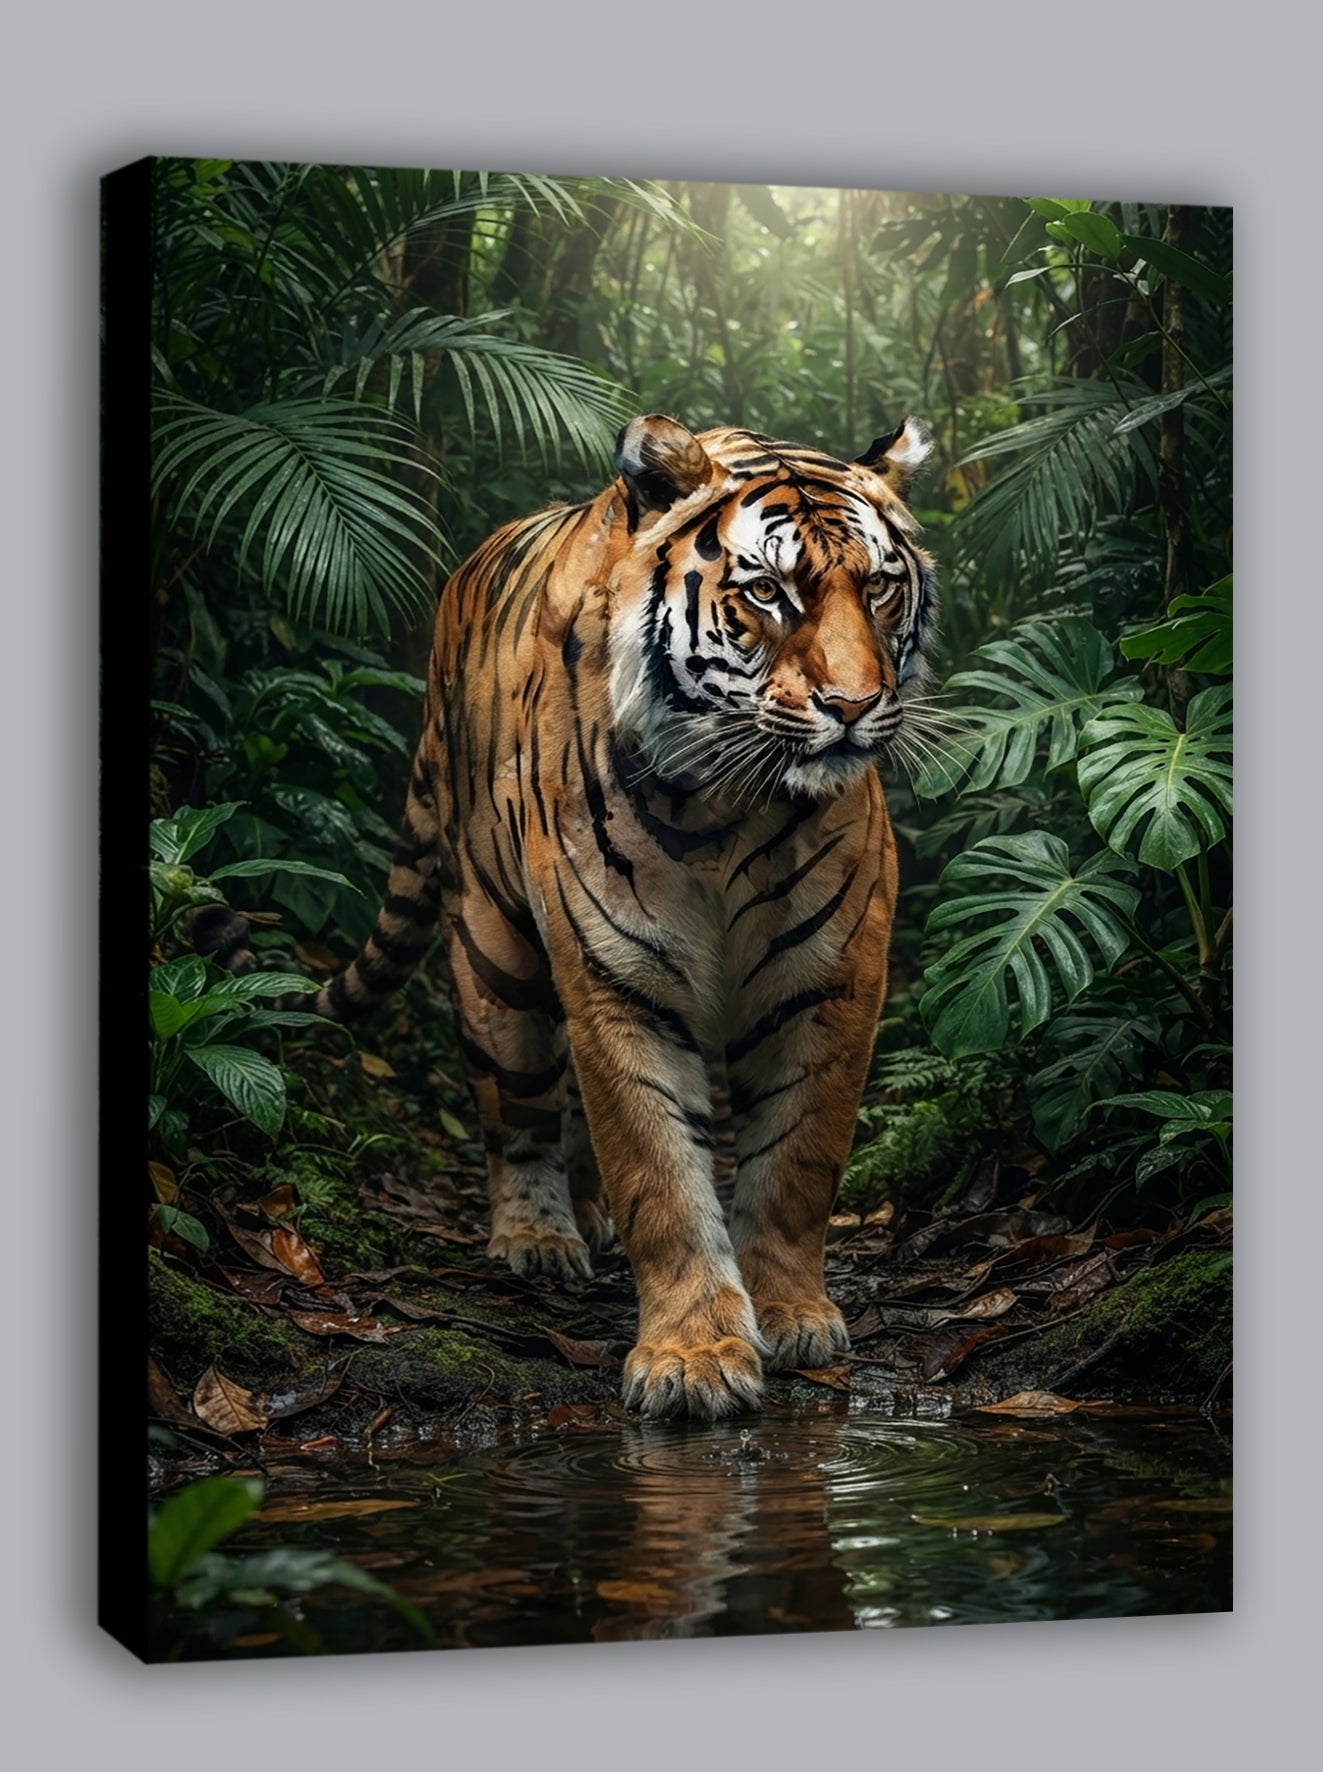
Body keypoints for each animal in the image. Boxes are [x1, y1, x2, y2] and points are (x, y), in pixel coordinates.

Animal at [288, 413, 935, 1420]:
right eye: (767, 592)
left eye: (876, 587)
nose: (854, 706)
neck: (729, 808)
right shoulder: (616, 974)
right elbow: (656, 1168)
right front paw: (692, 1358)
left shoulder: (829, 980)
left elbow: (796, 1158)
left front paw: (790, 1314)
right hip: (494, 951)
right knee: (517, 1108)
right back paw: (538, 1237)